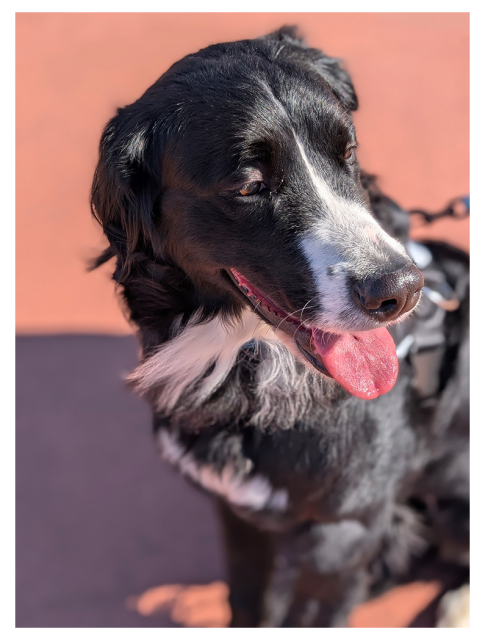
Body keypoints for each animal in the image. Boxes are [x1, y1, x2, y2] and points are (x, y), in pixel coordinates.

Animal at [91, 28, 468, 624]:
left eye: (348, 153)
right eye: (249, 186)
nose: (403, 290)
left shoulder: (344, 534)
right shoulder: (240, 516)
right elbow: (248, 600)